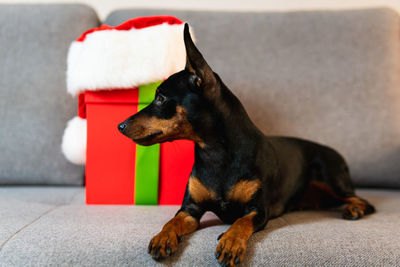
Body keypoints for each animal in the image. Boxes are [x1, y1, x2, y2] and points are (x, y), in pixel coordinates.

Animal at [118, 24, 376, 266]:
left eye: (160, 98)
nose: (120, 125)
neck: (215, 154)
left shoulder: (258, 210)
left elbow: (241, 221)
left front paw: (230, 242)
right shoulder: (190, 210)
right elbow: (171, 221)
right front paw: (163, 238)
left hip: (329, 177)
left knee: (362, 201)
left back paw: (354, 209)